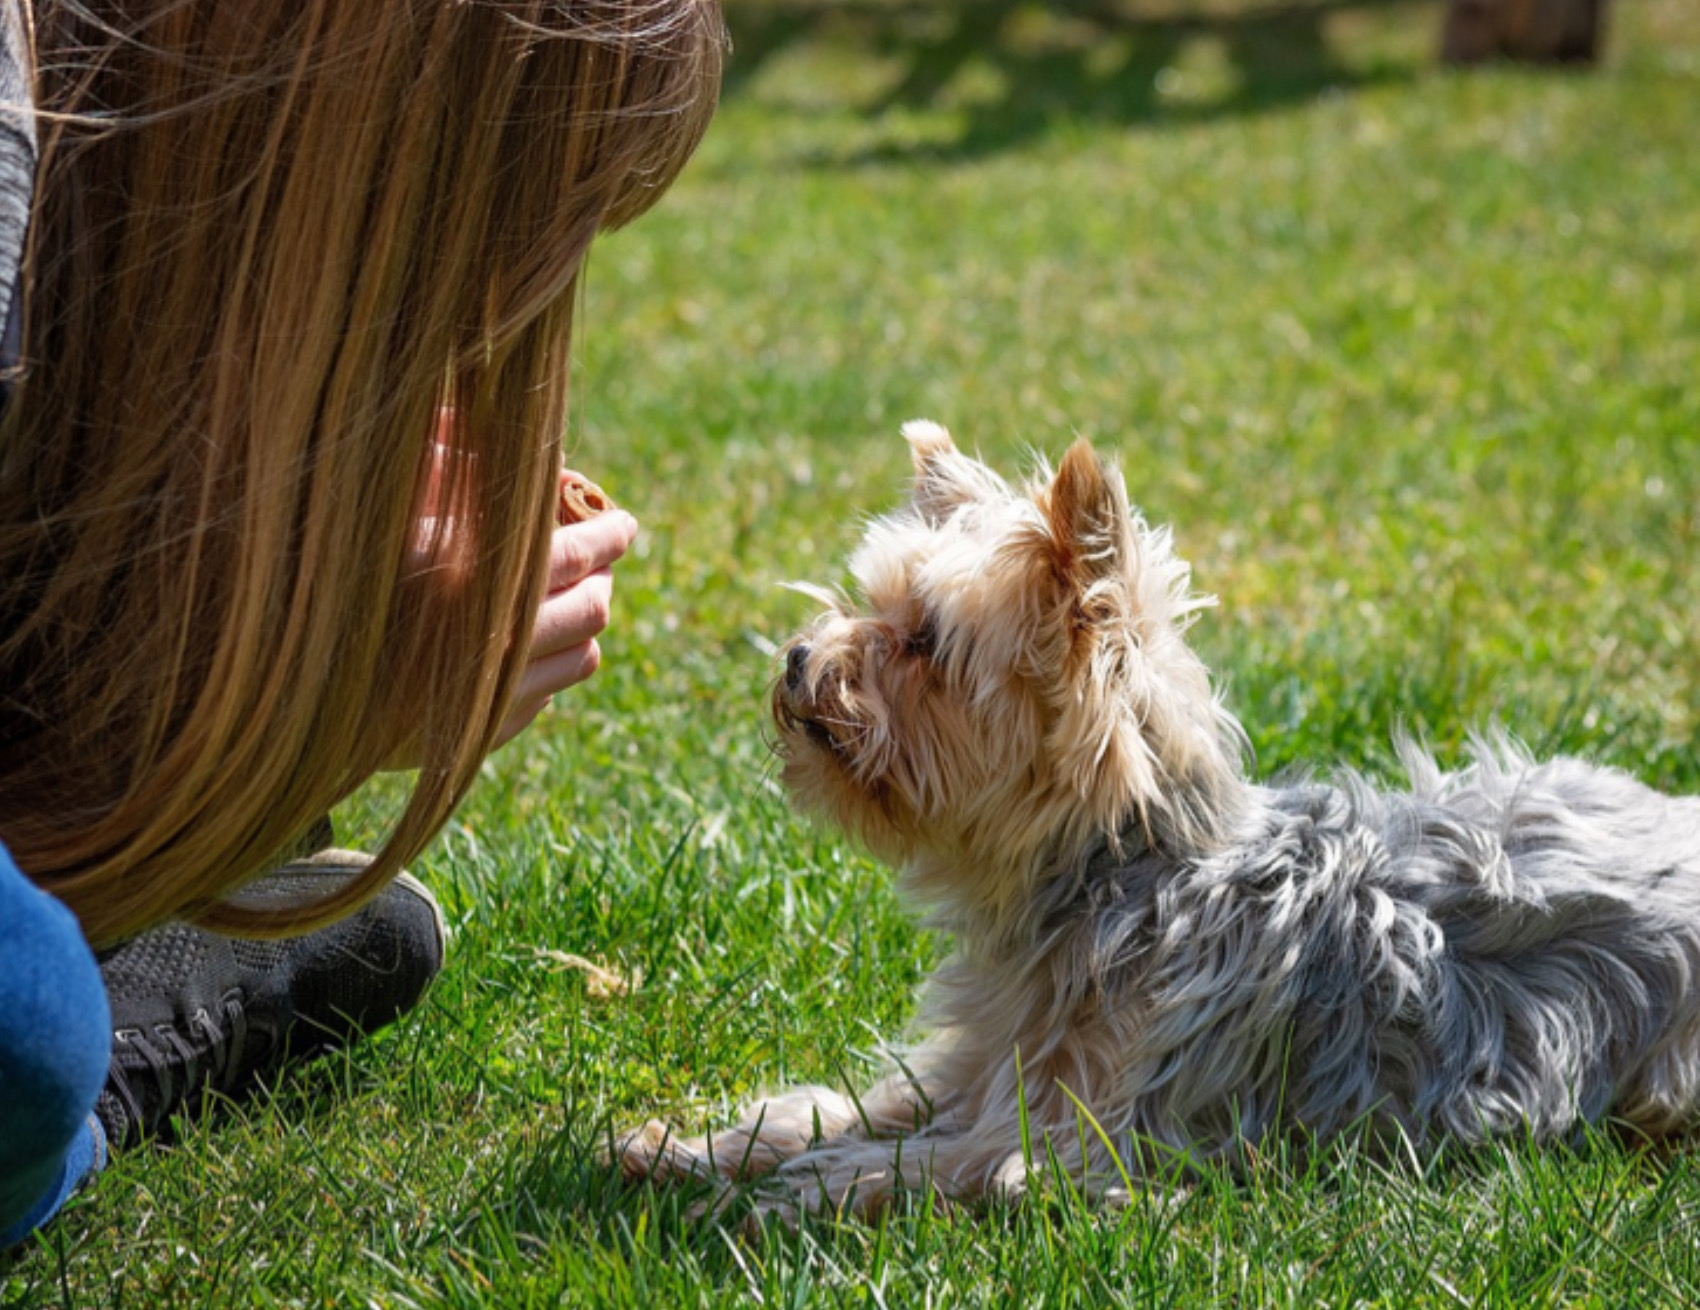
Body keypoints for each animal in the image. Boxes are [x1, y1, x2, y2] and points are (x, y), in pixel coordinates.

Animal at [622, 423, 1700, 1216]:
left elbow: (959, 1160)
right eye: (868, 601)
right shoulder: (979, 1061)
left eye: (924, 640)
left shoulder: (1100, 1138)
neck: (1120, 880)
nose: (799, 657)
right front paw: (694, 1145)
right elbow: (854, 1104)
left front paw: (798, 1190)